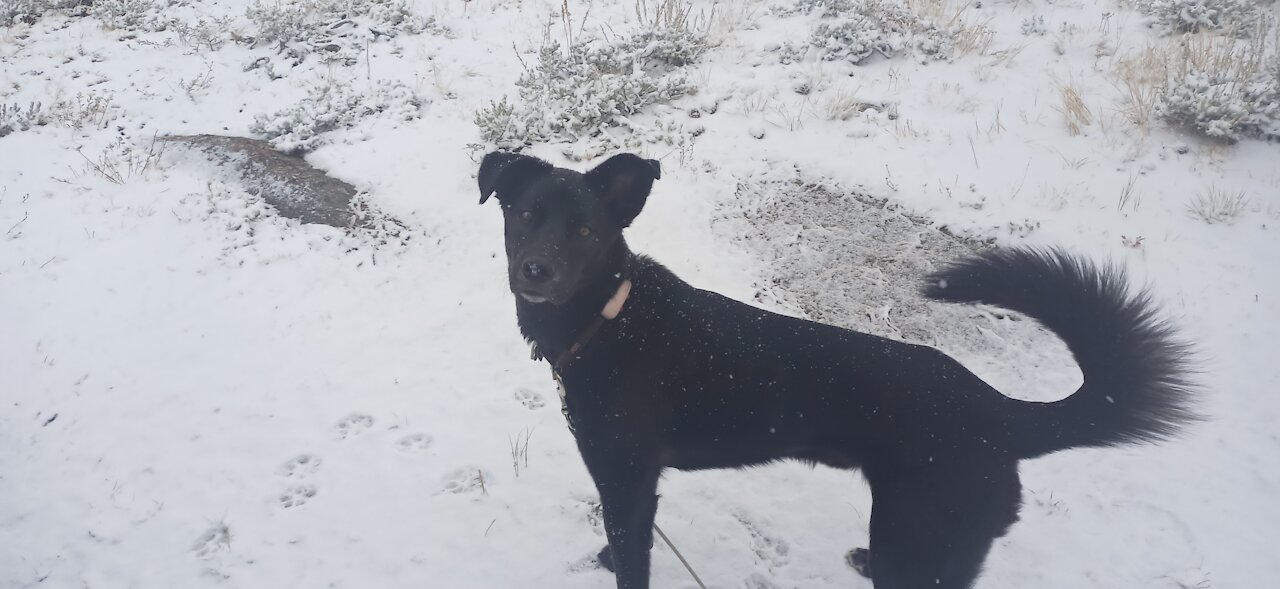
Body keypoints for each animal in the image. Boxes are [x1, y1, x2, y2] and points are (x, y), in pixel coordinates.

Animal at [476, 151, 1192, 589]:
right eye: (526, 215)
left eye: (586, 231)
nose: (536, 271)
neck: (609, 316)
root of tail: (999, 411)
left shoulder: (626, 477)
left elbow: (632, 554)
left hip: (921, 542)